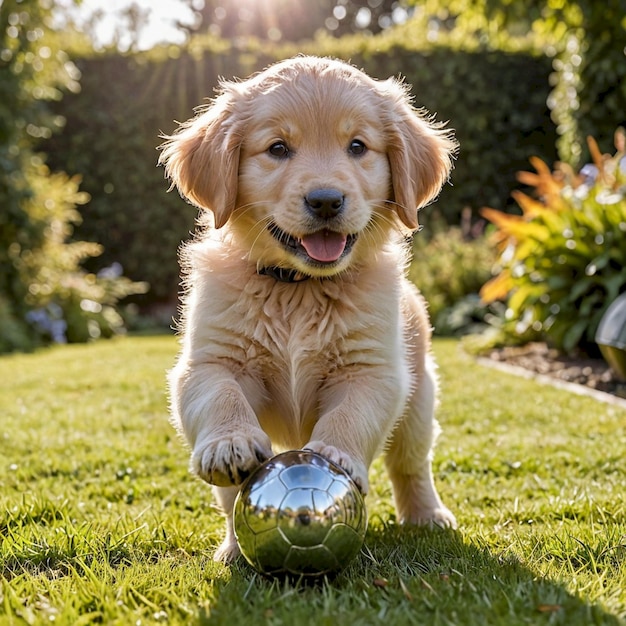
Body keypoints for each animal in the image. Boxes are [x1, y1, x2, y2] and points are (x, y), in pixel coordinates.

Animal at [158, 54, 456, 560]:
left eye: (357, 146)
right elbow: (219, 395)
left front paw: (335, 454)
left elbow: (350, 414)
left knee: (411, 465)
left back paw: (427, 515)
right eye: (278, 148)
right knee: (231, 495)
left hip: (419, 403)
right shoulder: (210, 360)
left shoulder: (373, 370)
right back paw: (236, 547)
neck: (299, 289)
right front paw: (230, 441)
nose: (326, 201)